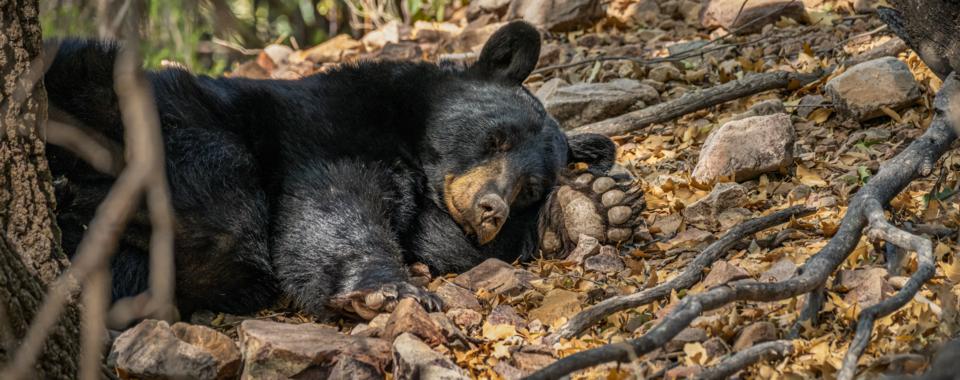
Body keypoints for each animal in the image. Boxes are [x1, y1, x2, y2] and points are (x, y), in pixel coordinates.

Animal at [45, 20, 628, 318]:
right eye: (496, 137)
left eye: (531, 188)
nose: (491, 209)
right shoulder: (324, 128)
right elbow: (331, 203)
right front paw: (391, 289)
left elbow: (452, 249)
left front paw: (595, 205)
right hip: (102, 88)